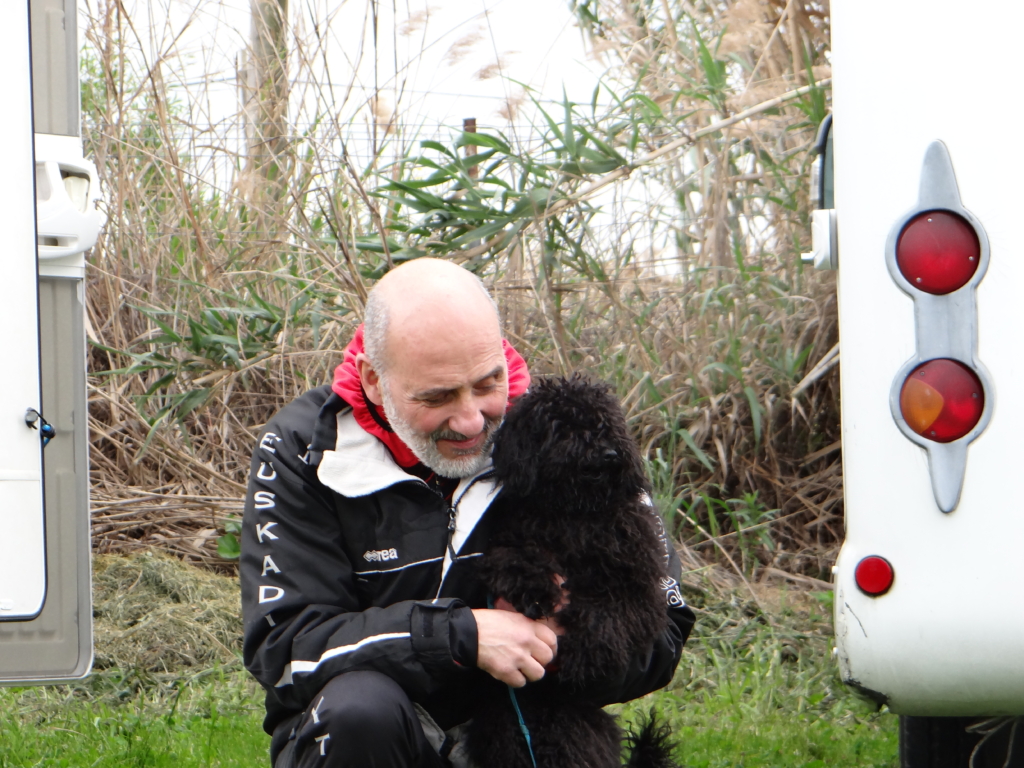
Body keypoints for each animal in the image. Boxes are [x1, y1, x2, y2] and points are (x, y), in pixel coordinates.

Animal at [466, 374, 679, 768]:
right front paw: (535, 591)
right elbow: (516, 559)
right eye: (562, 427)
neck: (577, 515)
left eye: (607, 423)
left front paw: (584, 653)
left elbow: (610, 614)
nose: (609, 454)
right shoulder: (511, 542)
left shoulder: (639, 588)